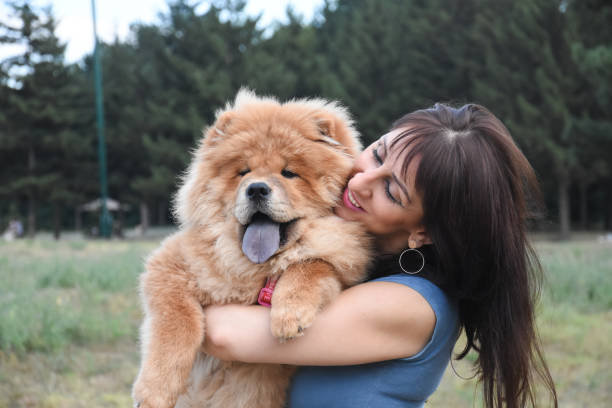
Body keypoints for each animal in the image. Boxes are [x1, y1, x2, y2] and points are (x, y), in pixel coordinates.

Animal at [131, 90, 370, 408]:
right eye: (243, 172)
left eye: (289, 173)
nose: (256, 188)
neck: (252, 269)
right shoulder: (170, 264)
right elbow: (178, 322)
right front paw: (155, 392)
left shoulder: (342, 264)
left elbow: (312, 264)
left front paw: (289, 315)